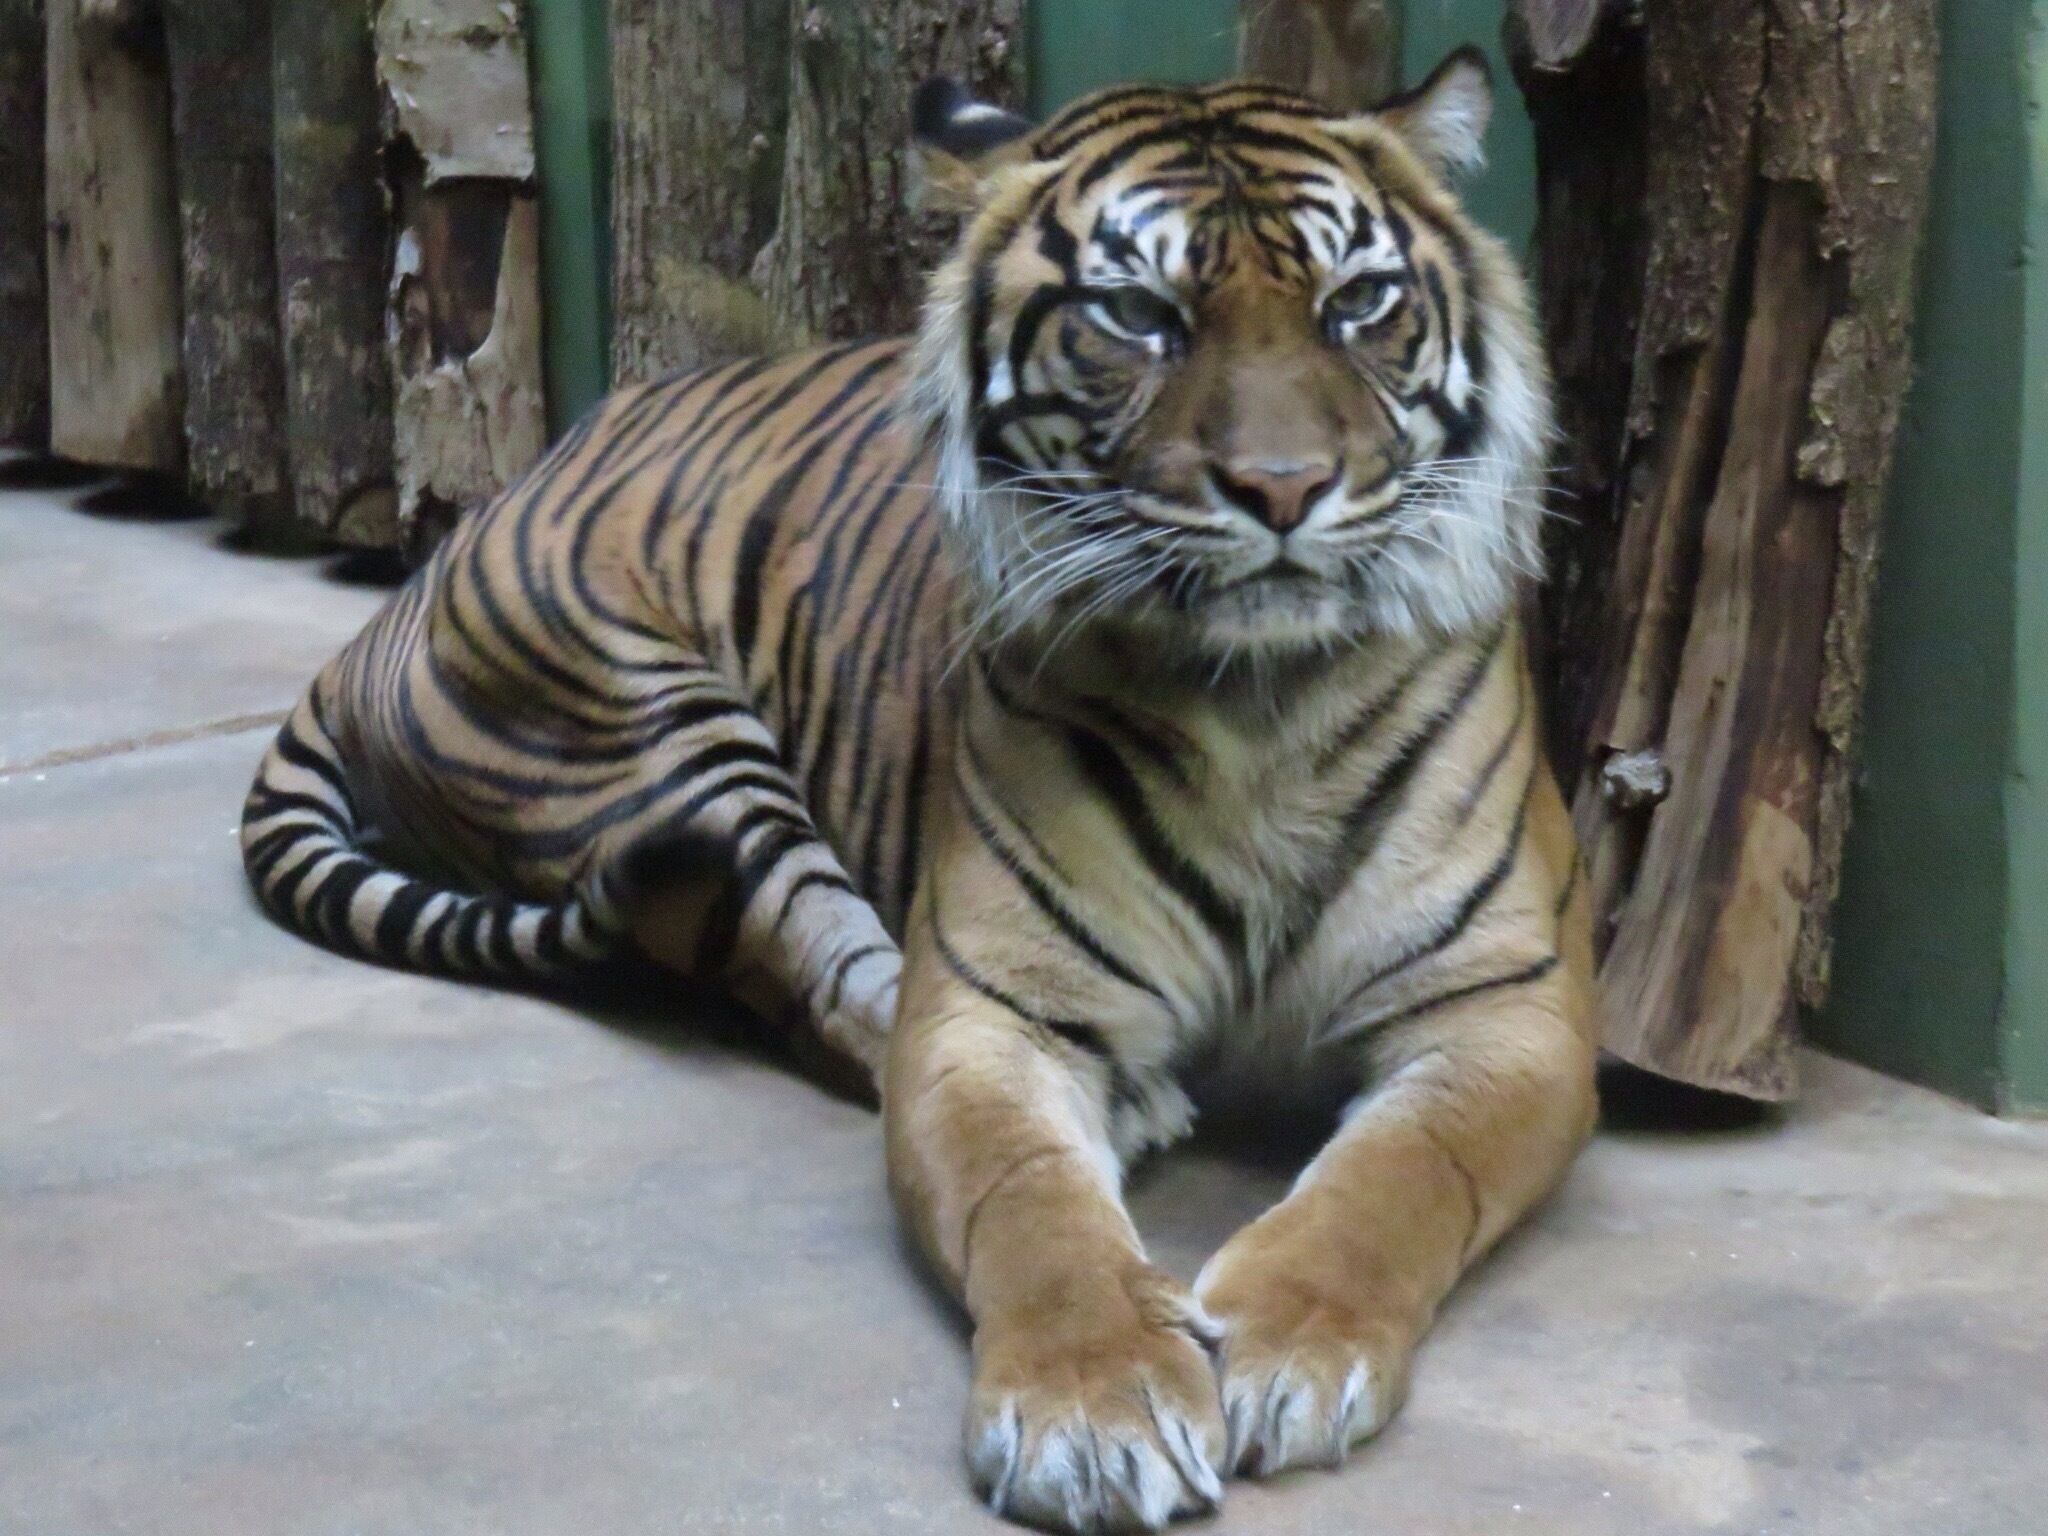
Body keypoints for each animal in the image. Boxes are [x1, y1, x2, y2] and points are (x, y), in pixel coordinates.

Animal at [240, 47, 1598, 1533]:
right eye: (1138, 315)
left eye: (1359, 303)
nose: (1285, 489)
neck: (1258, 704)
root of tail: (436, 554)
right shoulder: (989, 1015)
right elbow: (1029, 1204)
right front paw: (1095, 1410)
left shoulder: (1506, 1012)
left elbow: (1403, 1177)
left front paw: (1288, 1345)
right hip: (660, 728)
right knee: (807, 971)